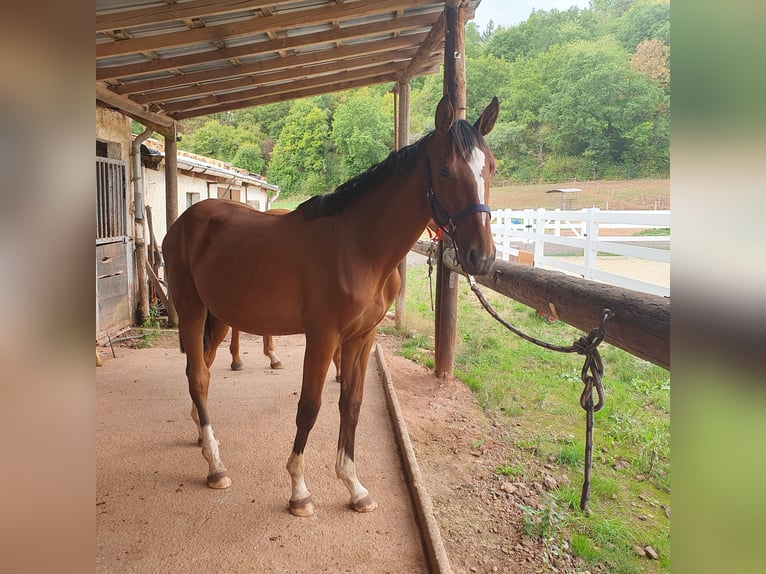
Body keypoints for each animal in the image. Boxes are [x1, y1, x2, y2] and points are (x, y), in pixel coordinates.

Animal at [162, 94, 499, 517]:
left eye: (491, 168)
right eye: (444, 169)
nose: (481, 257)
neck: (358, 246)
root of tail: (184, 222)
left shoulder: (361, 338)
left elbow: (350, 404)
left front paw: (354, 486)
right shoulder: (323, 337)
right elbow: (309, 407)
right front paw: (299, 491)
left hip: (219, 317)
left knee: (202, 372)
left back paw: (202, 435)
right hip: (191, 311)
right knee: (198, 377)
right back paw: (215, 466)